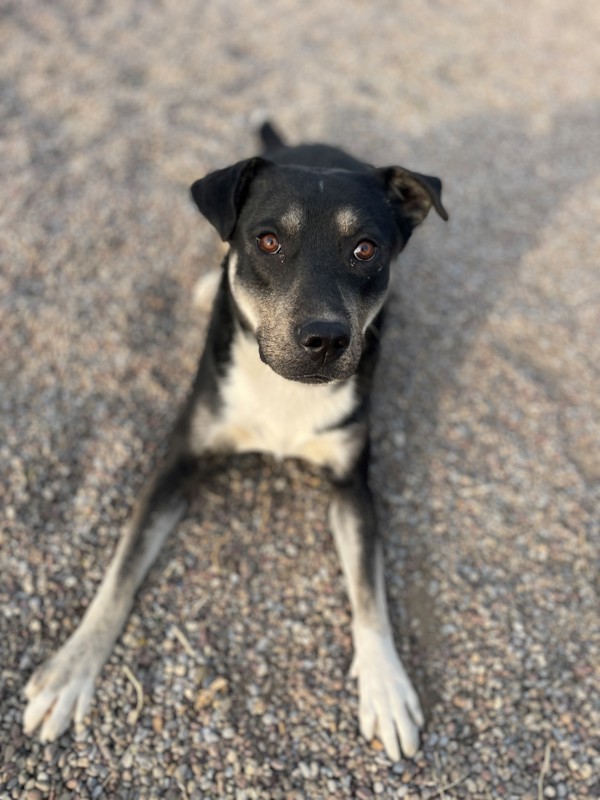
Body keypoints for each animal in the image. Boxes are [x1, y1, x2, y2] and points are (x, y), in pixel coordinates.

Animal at [23, 123, 446, 764]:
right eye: (268, 241)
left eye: (366, 249)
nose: (325, 339)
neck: (285, 389)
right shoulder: (176, 463)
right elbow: (119, 575)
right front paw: (71, 669)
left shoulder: (353, 487)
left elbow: (370, 593)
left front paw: (387, 686)